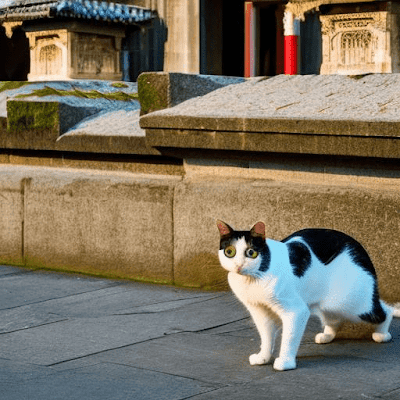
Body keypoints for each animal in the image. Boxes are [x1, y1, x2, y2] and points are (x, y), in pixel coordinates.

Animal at [217, 220, 400, 370]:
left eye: (251, 253)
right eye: (229, 252)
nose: (239, 266)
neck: (254, 278)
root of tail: (361, 250)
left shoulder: (296, 310)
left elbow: (289, 337)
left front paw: (286, 362)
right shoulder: (260, 310)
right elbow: (266, 336)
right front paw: (263, 357)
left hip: (354, 305)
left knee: (385, 310)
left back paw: (382, 334)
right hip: (331, 306)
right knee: (335, 320)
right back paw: (327, 335)